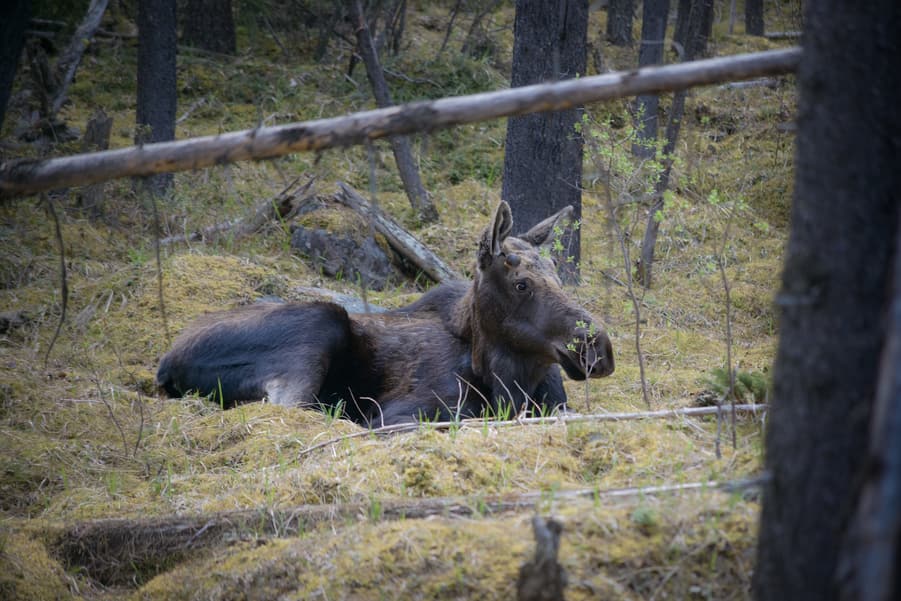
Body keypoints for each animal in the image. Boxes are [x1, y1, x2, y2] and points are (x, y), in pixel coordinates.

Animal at [158, 203, 616, 426]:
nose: (599, 348)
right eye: (522, 284)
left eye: (556, 270)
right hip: (319, 325)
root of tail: (165, 362)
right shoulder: (398, 414)